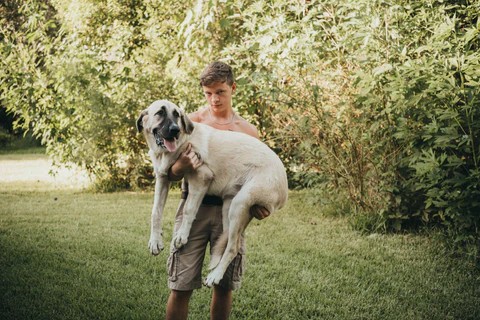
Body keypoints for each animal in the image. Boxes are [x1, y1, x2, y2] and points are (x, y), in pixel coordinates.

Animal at [137, 99, 286, 286]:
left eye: (177, 115)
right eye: (160, 113)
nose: (175, 130)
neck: (182, 142)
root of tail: (285, 191)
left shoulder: (201, 178)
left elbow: (189, 210)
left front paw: (182, 236)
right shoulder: (163, 177)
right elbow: (155, 211)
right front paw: (155, 241)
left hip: (240, 203)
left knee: (233, 247)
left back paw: (215, 275)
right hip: (229, 208)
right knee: (228, 240)